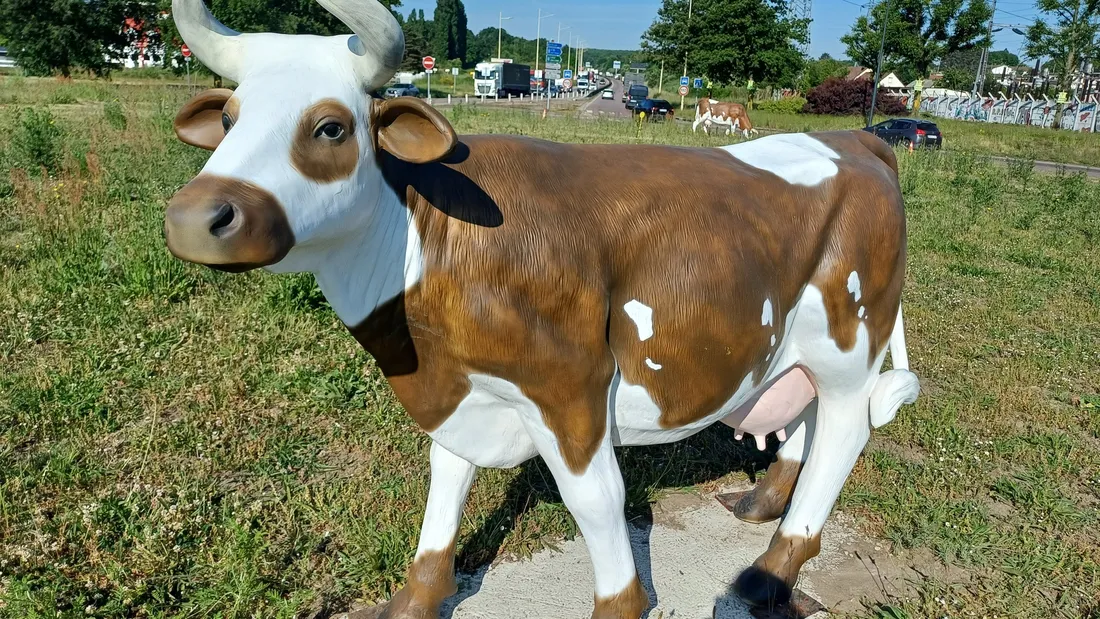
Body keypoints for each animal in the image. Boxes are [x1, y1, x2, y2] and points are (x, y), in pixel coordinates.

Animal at [164, 0, 921, 616]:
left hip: (850, 341)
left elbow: (597, 499)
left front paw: (620, 604)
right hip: (798, 345)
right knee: (807, 417)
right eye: (229, 117)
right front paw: (416, 598)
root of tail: (860, 140)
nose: (195, 217)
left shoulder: (570, 387)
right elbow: (444, 485)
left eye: (329, 127)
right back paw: (759, 504)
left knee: (844, 432)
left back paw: (771, 572)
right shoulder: (461, 386)